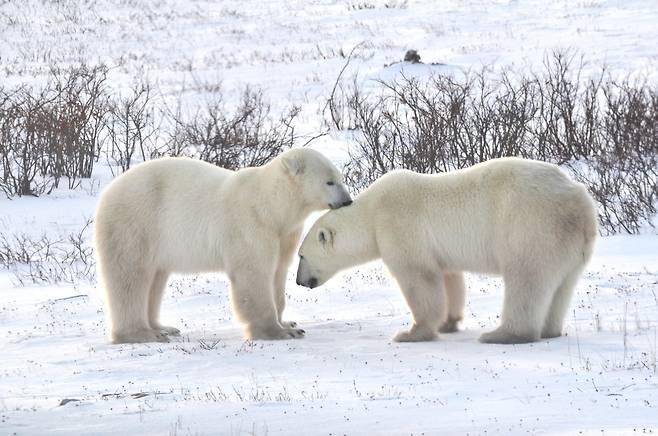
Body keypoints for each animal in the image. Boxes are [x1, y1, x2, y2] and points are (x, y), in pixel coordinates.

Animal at [94, 150, 352, 344]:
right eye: (329, 182)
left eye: (340, 178)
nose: (347, 201)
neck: (271, 205)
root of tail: (107, 192)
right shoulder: (251, 225)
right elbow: (254, 275)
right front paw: (278, 332)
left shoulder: (284, 233)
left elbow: (278, 273)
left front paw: (289, 322)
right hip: (136, 224)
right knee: (130, 277)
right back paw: (141, 333)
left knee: (155, 279)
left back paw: (163, 328)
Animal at [294, 157, 596, 344]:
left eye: (301, 255)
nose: (298, 281)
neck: (371, 212)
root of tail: (579, 202)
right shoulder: (440, 251)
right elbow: (449, 278)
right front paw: (448, 323)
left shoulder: (399, 225)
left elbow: (419, 278)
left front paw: (411, 333)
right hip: (569, 245)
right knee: (561, 285)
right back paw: (549, 330)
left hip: (531, 226)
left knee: (526, 279)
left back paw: (502, 334)